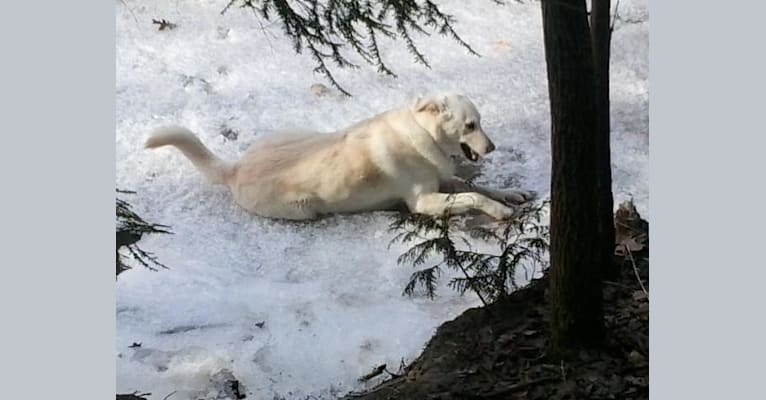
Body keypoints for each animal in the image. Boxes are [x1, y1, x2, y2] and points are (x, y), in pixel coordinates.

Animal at [147, 93, 536, 220]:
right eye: (470, 125)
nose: (492, 148)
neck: (423, 133)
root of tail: (235, 169)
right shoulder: (424, 202)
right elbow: (473, 195)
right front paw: (500, 211)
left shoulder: (444, 180)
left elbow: (479, 187)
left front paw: (510, 194)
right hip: (302, 210)